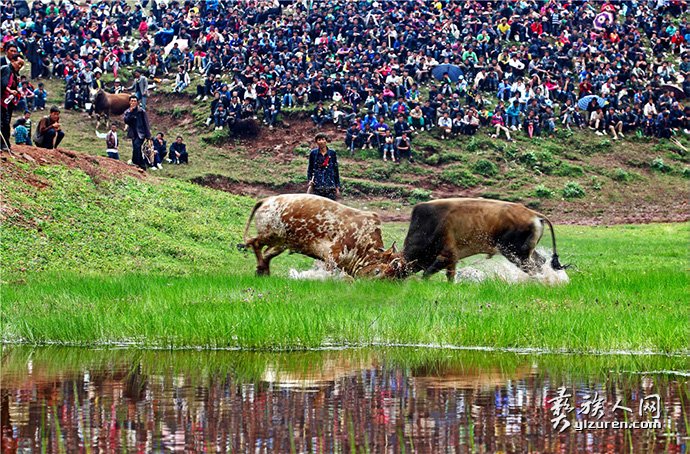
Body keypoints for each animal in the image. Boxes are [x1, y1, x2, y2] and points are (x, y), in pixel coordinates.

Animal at [239, 194, 406, 278]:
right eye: (381, 272)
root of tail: (266, 200)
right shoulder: (332, 256)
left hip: (281, 242)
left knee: (267, 254)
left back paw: (263, 271)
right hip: (269, 234)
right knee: (255, 243)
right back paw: (262, 270)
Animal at [398, 198, 564, 280]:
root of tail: (534, 214)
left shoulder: (445, 256)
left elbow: (427, 274)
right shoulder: (452, 260)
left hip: (516, 254)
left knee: (534, 269)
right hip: (527, 251)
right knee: (541, 262)